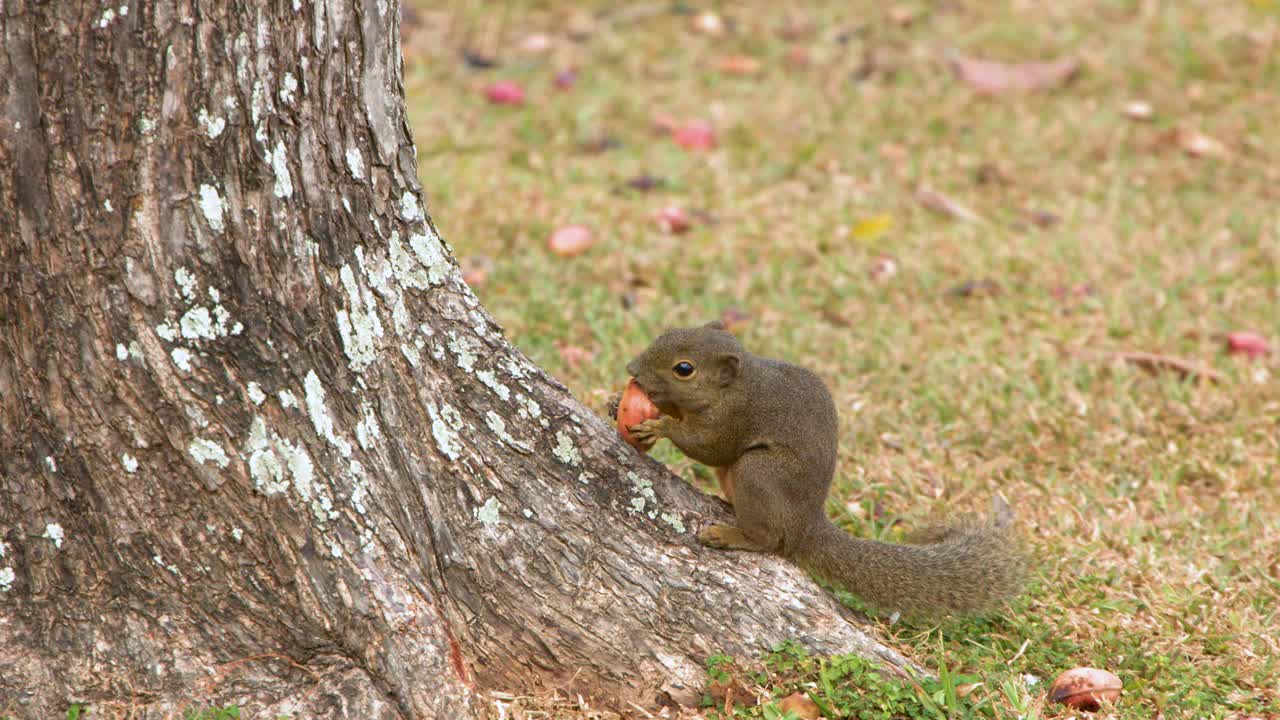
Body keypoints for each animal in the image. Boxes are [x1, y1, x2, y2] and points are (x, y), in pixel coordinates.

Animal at [619, 321, 1025, 616]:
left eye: (684, 368)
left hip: (757, 471)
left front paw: (661, 427)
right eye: (665, 333)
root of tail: (807, 525)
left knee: (771, 539)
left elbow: (709, 447)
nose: (631, 368)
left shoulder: (734, 419)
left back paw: (731, 535)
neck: (738, 386)